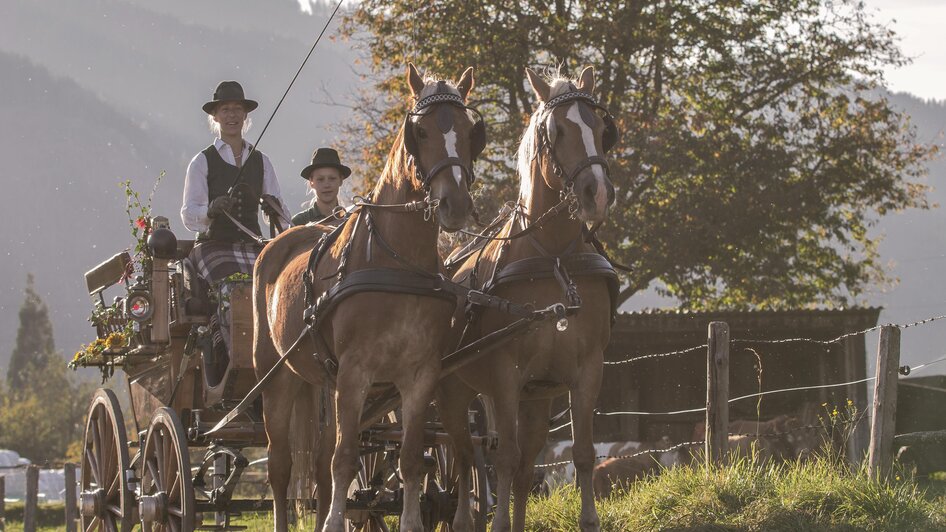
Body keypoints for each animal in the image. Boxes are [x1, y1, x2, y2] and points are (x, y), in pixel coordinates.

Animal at [254, 63, 484, 532]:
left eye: (471, 131)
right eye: (420, 131)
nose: (454, 204)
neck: (396, 263)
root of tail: (275, 244)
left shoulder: (419, 375)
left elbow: (411, 458)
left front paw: (411, 521)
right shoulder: (356, 372)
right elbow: (345, 459)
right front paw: (334, 522)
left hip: (326, 382)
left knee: (320, 458)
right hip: (277, 377)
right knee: (282, 466)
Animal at [438, 67, 616, 532]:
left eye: (600, 128)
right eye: (556, 131)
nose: (598, 193)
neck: (552, 258)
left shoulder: (585, 371)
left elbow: (582, 455)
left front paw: (589, 519)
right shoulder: (505, 373)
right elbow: (502, 459)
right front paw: (497, 522)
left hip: (535, 398)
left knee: (521, 467)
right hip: (454, 392)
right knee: (464, 457)